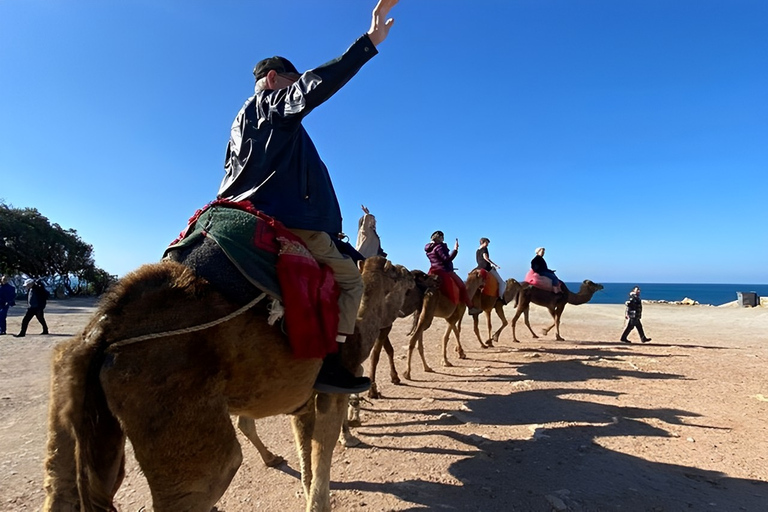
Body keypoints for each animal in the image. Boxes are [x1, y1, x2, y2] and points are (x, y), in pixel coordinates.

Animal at [42, 256, 414, 512]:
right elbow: (323, 451)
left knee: (63, 490)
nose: (419, 280)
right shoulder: (331, 390)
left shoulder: (303, 400)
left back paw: (271, 459)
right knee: (212, 472)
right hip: (173, 405)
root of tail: (102, 335)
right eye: (402, 274)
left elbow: (307, 455)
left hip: (73, 409)